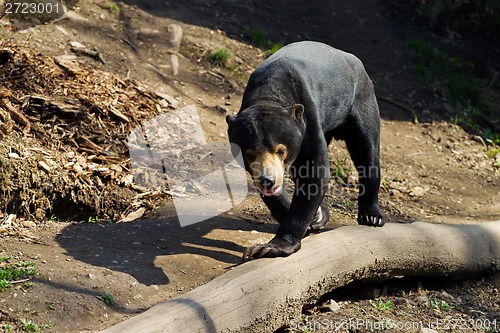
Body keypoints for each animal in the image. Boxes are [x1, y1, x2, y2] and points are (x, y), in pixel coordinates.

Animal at [227, 41, 386, 260]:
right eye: (249, 154)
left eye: (280, 150)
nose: (268, 180)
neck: (268, 95)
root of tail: (350, 57)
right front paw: (310, 220)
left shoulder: (307, 118)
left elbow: (315, 169)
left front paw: (269, 247)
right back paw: (320, 215)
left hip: (360, 100)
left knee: (366, 150)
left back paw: (372, 217)